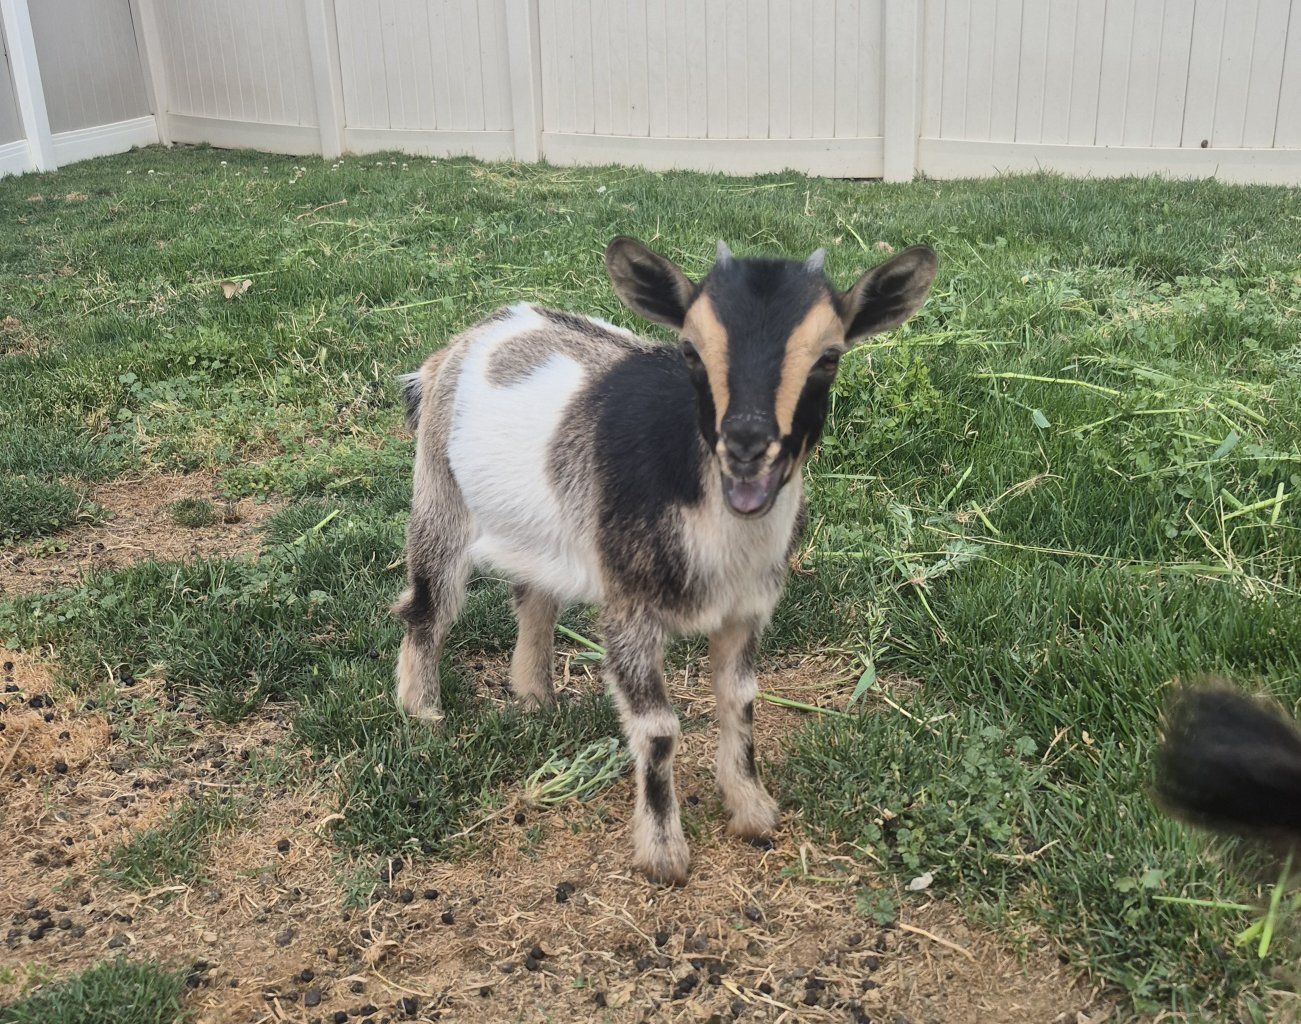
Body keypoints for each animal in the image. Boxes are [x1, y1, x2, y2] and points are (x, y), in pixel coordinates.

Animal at [394, 237, 938, 882]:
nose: (747, 447)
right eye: (691, 351)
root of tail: (459, 345)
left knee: (534, 596)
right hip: (439, 493)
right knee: (428, 603)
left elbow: (741, 700)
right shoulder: (629, 610)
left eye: (829, 357)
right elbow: (657, 730)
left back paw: (534, 698)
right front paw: (662, 854)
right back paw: (422, 712)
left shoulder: (746, 610)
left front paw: (753, 811)